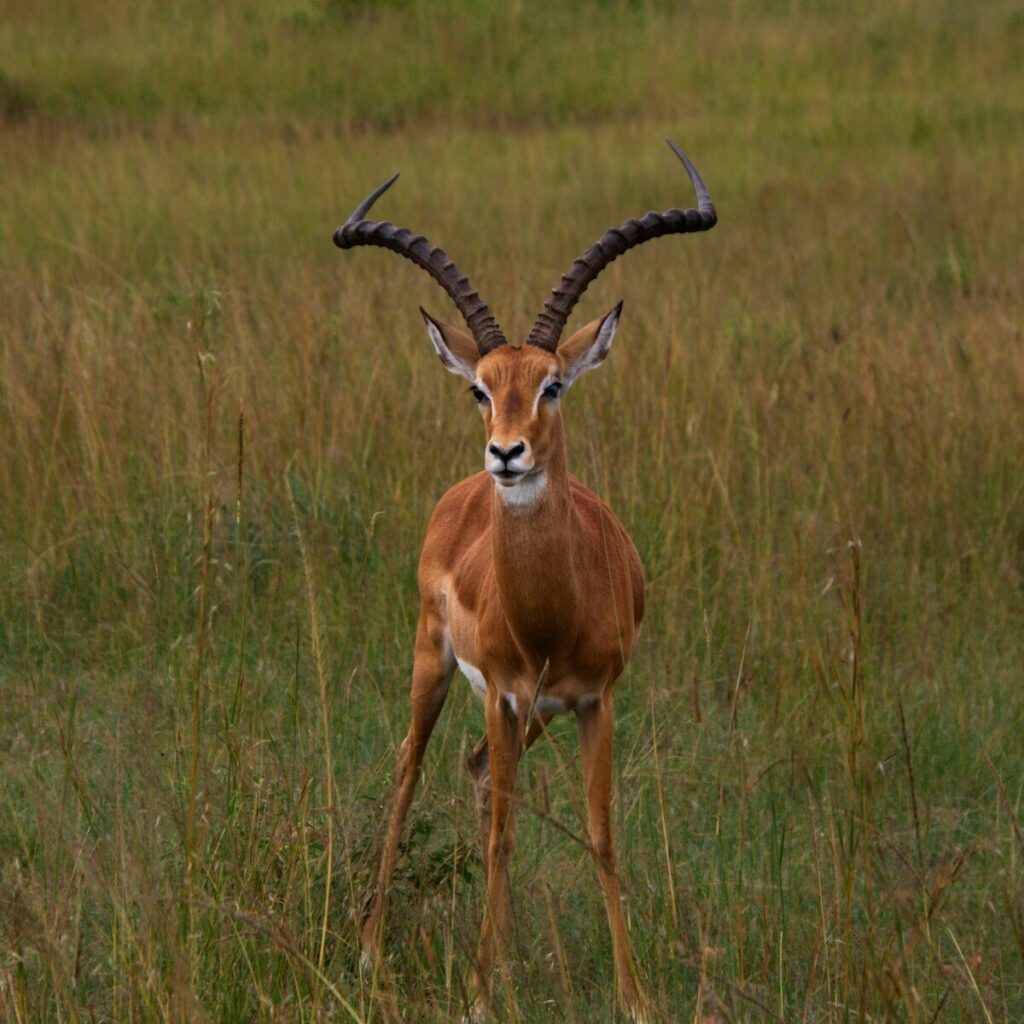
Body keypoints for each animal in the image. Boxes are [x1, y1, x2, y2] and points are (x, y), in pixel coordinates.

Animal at [333, 140, 717, 1022]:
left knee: (477, 775)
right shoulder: (505, 692)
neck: (552, 611)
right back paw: (372, 953)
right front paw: (478, 996)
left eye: (554, 384)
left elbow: (601, 833)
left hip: (530, 717)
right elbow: (506, 834)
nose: (506, 454)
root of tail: (459, 495)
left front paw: (633, 997)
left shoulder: (594, 700)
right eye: (481, 387)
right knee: (411, 770)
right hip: (439, 668)